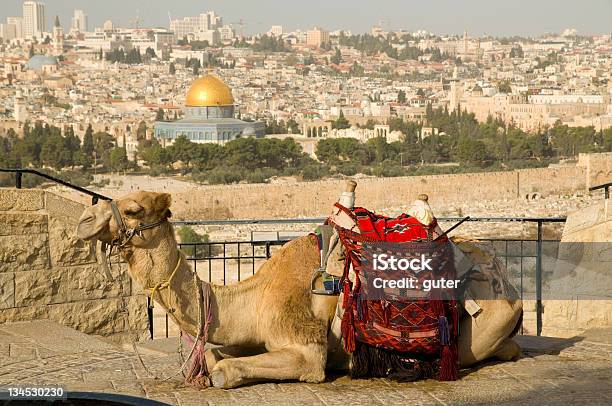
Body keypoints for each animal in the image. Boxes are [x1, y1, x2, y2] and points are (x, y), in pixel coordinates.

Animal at [76, 192, 524, 388]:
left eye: (132, 209)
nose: (83, 220)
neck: (252, 297)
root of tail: (508, 282)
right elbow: (217, 353)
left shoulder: (304, 347)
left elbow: (227, 369)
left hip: (480, 327)